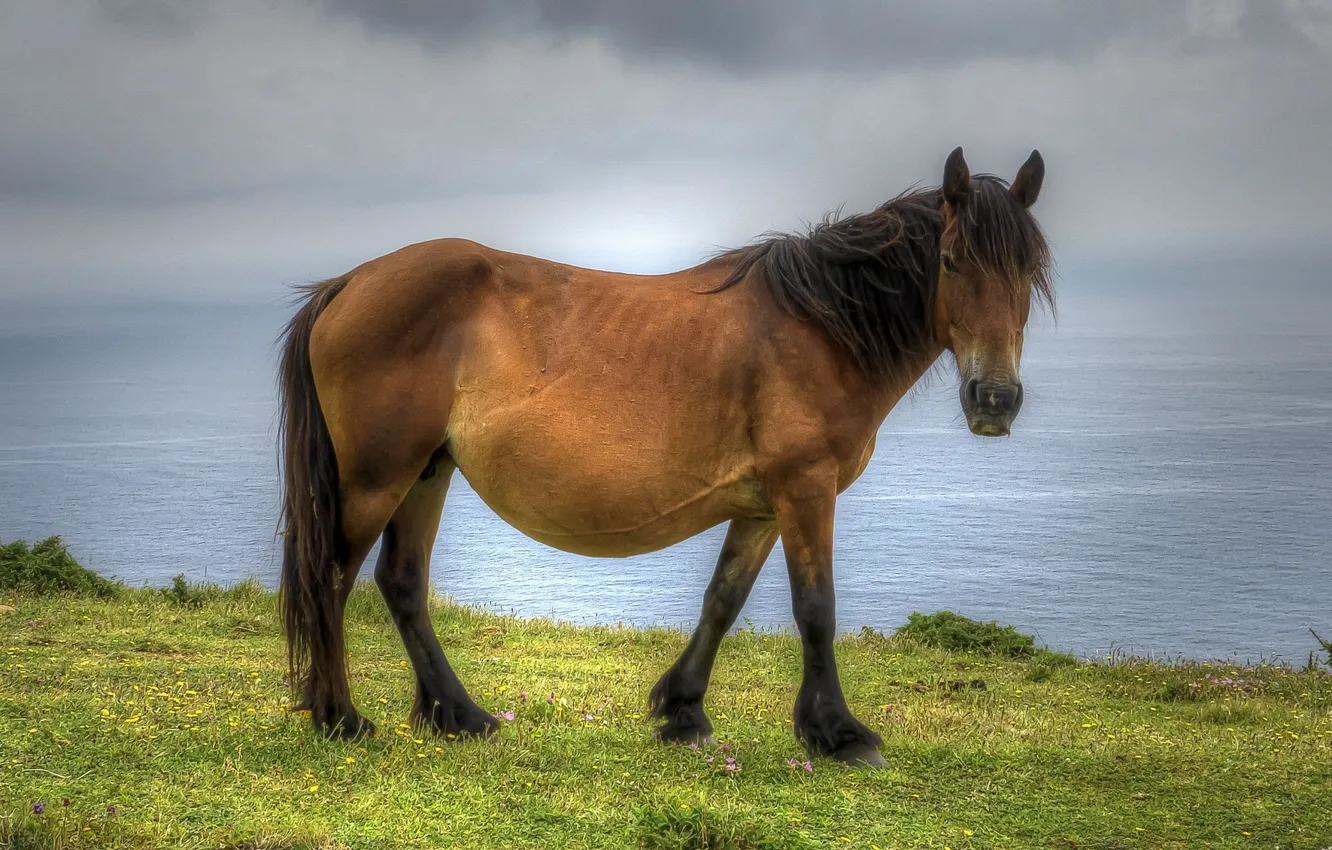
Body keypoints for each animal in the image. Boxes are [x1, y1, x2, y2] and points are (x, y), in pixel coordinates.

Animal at [277, 146, 1053, 767]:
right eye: (950, 262)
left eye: (1029, 275)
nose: (994, 399)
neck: (820, 327)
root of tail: (350, 283)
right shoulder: (806, 488)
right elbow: (815, 608)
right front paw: (838, 733)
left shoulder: (764, 504)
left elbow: (723, 600)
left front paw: (683, 712)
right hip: (377, 478)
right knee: (332, 579)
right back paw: (340, 718)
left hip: (427, 471)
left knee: (401, 582)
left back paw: (461, 717)